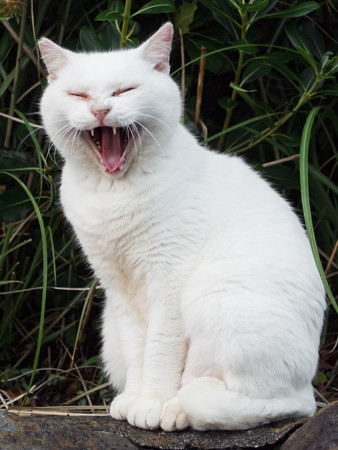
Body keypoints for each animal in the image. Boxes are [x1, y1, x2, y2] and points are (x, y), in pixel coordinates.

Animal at [39, 22, 324, 430]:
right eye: (79, 95)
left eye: (124, 91)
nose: (100, 109)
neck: (113, 192)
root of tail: (310, 386)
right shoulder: (119, 289)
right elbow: (139, 350)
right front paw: (137, 400)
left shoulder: (169, 279)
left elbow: (159, 350)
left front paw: (152, 404)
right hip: (112, 326)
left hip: (215, 295)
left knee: (270, 402)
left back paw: (177, 410)